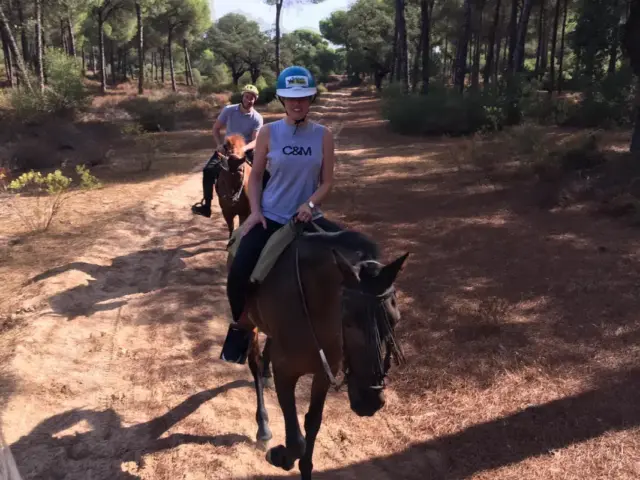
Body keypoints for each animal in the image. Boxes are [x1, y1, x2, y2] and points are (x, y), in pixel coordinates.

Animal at [232, 223, 409, 479]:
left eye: (394, 321)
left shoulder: (325, 373)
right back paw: (263, 427)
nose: (369, 402)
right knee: (255, 363)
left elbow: (312, 423)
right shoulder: (285, 372)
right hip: (249, 322)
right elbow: (297, 442)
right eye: (348, 322)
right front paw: (278, 456)